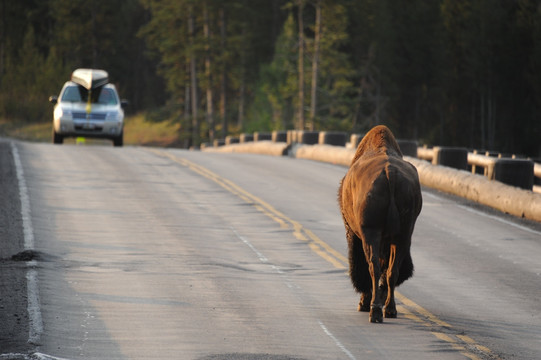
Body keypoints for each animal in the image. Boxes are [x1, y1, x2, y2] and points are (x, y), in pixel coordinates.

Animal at [338, 126, 422, 324]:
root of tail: (389, 172)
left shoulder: (355, 234)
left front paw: (365, 301)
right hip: (402, 236)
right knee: (392, 270)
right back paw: (390, 309)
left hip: (371, 234)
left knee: (373, 267)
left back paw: (374, 310)